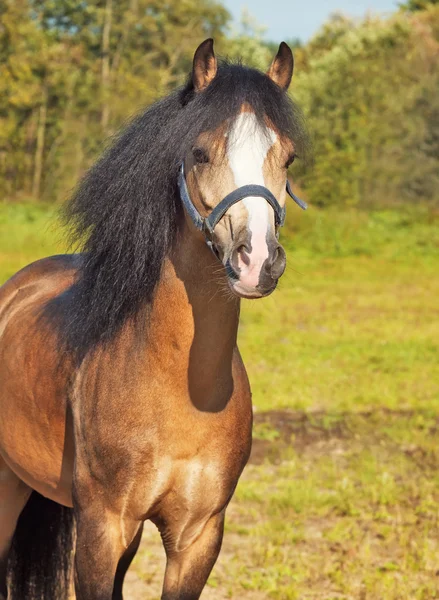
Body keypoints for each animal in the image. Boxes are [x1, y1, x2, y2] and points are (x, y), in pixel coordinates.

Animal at [0, 39, 310, 596]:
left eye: (288, 157)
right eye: (200, 152)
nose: (257, 260)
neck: (177, 388)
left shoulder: (197, 536)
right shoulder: (101, 530)